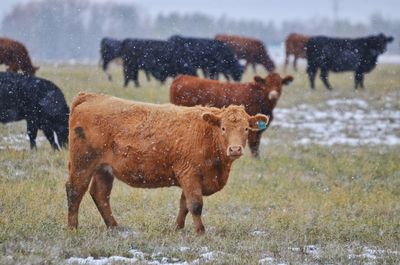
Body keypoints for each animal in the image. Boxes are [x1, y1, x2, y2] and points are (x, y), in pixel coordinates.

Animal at [66, 91, 268, 233]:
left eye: (246, 128)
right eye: (223, 128)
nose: (235, 149)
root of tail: (89, 96)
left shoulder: (190, 179)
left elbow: (184, 204)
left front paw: (178, 228)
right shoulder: (189, 174)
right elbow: (195, 205)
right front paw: (200, 231)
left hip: (103, 169)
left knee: (100, 195)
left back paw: (114, 226)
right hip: (82, 163)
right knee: (75, 190)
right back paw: (73, 227)